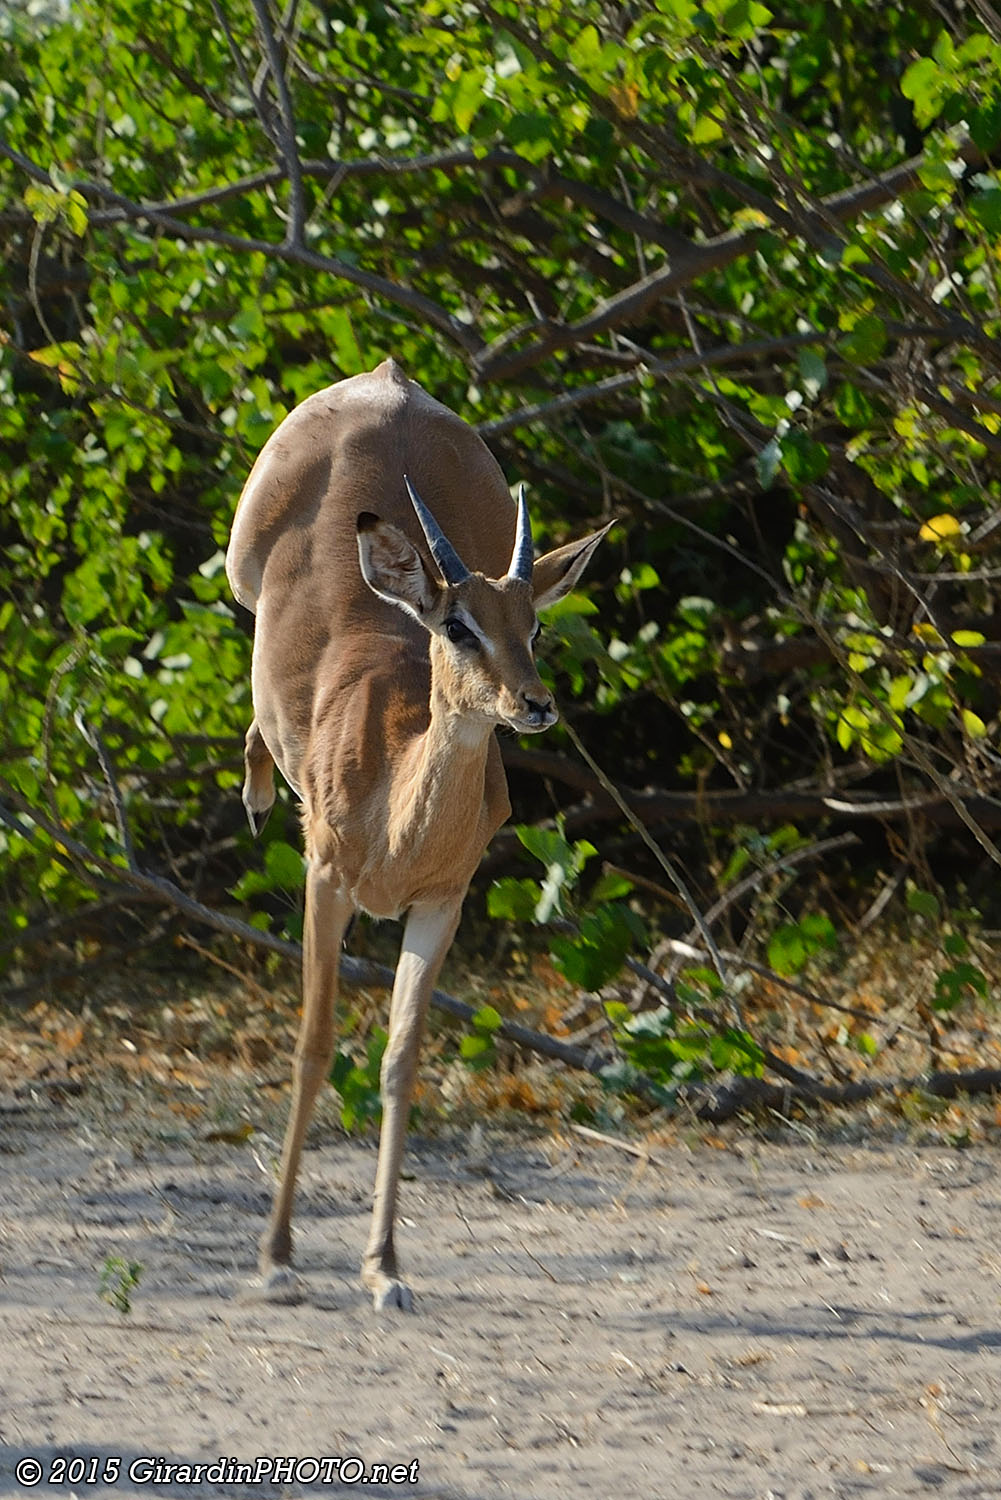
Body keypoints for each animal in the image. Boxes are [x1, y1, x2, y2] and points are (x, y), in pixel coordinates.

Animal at [226, 358, 610, 1311]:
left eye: (533, 625)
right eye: (457, 625)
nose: (534, 703)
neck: (394, 816)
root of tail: (388, 380)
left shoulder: (442, 904)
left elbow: (400, 1059)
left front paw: (385, 1268)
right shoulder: (325, 884)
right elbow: (314, 1046)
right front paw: (277, 1258)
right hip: (240, 578)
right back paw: (256, 794)